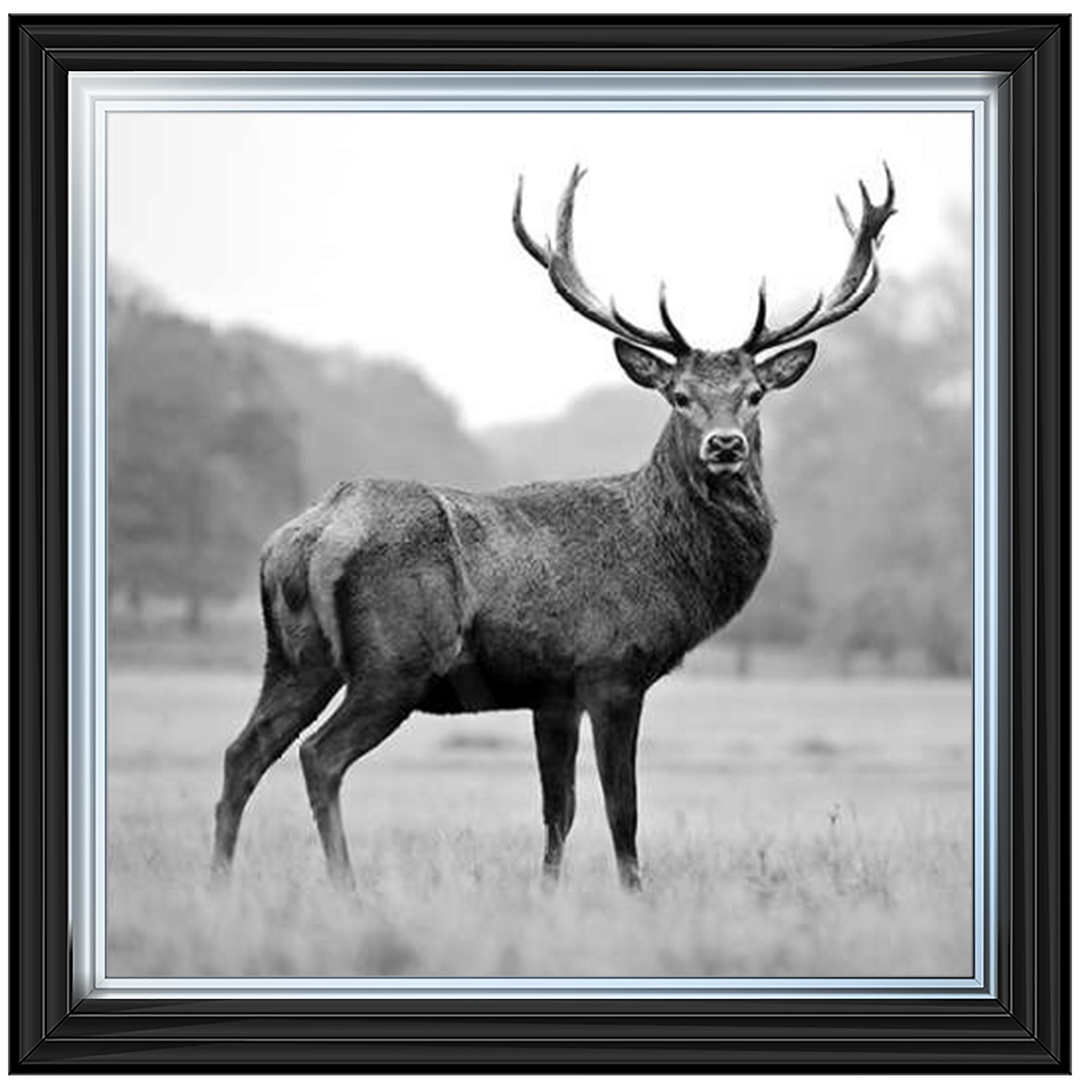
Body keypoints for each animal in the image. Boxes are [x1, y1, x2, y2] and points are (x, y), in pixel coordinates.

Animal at [211, 164, 896, 892]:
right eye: (678, 396)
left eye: (755, 394)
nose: (725, 445)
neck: (667, 564)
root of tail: (312, 533)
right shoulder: (612, 669)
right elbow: (622, 808)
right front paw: (634, 895)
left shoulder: (552, 692)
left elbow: (557, 809)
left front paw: (547, 892)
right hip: (395, 661)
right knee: (319, 755)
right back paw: (346, 887)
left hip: (294, 656)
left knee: (242, 752)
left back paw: (219, 881)